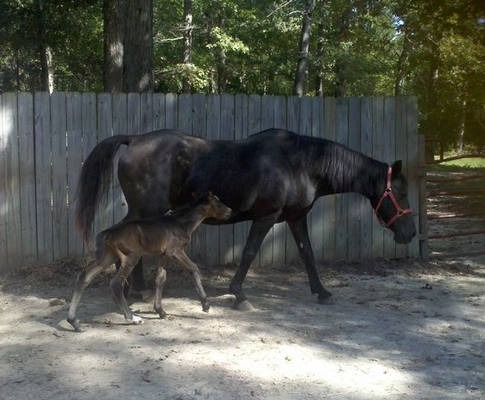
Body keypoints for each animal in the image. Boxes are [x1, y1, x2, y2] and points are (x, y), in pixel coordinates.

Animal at [67, 193, 231, 332]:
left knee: (84, 276)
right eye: (217, 202)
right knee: (116, 283)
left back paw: (74, 322)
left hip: (108, 257)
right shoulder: (175, 251)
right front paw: (205, 305)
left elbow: (160, 279)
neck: (181, 223)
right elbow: (194, 268)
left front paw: (161, 311)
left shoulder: (164, 255)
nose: (230, 211)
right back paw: (133, 318)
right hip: (131, 256)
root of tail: (109, 233)